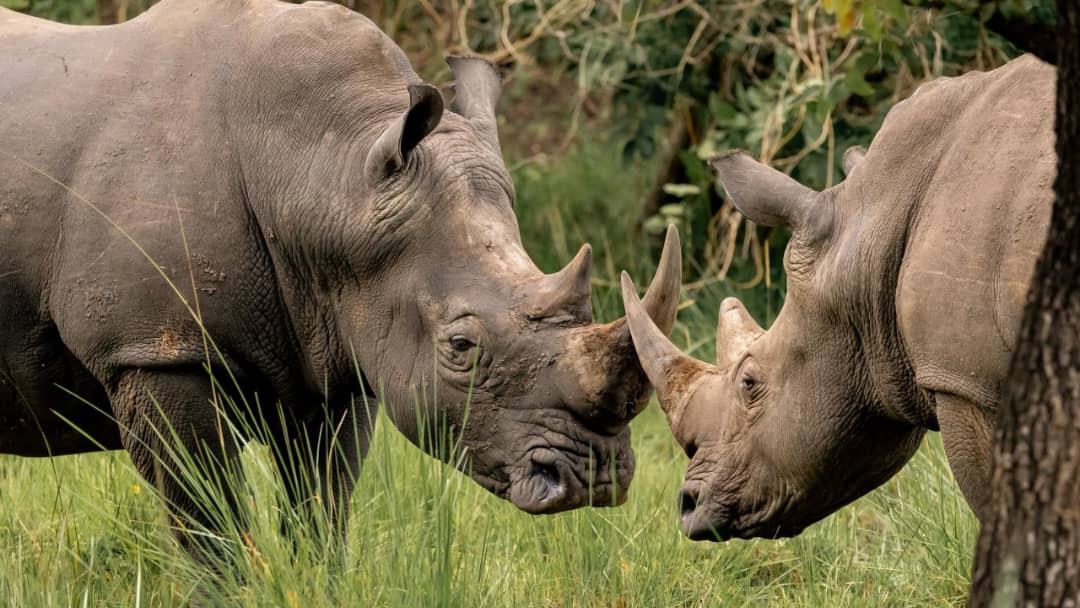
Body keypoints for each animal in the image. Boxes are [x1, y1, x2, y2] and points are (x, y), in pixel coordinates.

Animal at [0, 0, 682, 558]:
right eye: (461, 347)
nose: (593, 479)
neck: (326, 174)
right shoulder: (155, 349)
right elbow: (208, 526)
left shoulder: (338, 343)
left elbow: (322, 511)